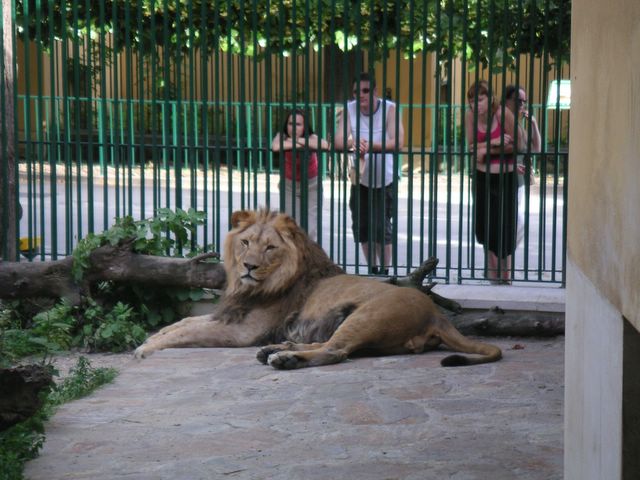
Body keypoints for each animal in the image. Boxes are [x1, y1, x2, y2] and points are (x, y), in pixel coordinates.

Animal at [134, 209, 502, 369]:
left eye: (270, 248)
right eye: (246, 242)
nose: (248, 266)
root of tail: (436, 315)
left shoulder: (243, 332)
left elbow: (187, 332)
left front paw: (146, 348)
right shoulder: (228, 315)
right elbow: (182, 323)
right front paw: (153, 337)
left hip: (367, 316)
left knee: (335, 351)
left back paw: (283, 358)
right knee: (330, 344)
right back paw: (277, 350)